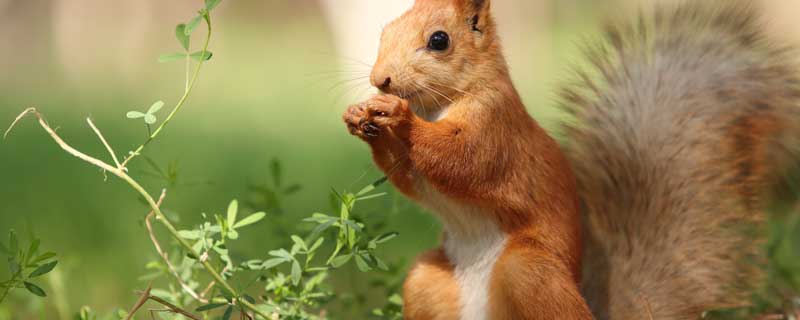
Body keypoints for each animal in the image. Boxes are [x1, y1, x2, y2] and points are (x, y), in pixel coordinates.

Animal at [340, 0, 800, 320]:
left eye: (440, 40)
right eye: (386, 30)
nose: (380, 80)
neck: (438, 107)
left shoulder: (496, 129)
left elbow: (462, 160)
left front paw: (399, 118)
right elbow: (411, 178)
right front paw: (360, 118)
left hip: (529, 273)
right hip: (427, 282)